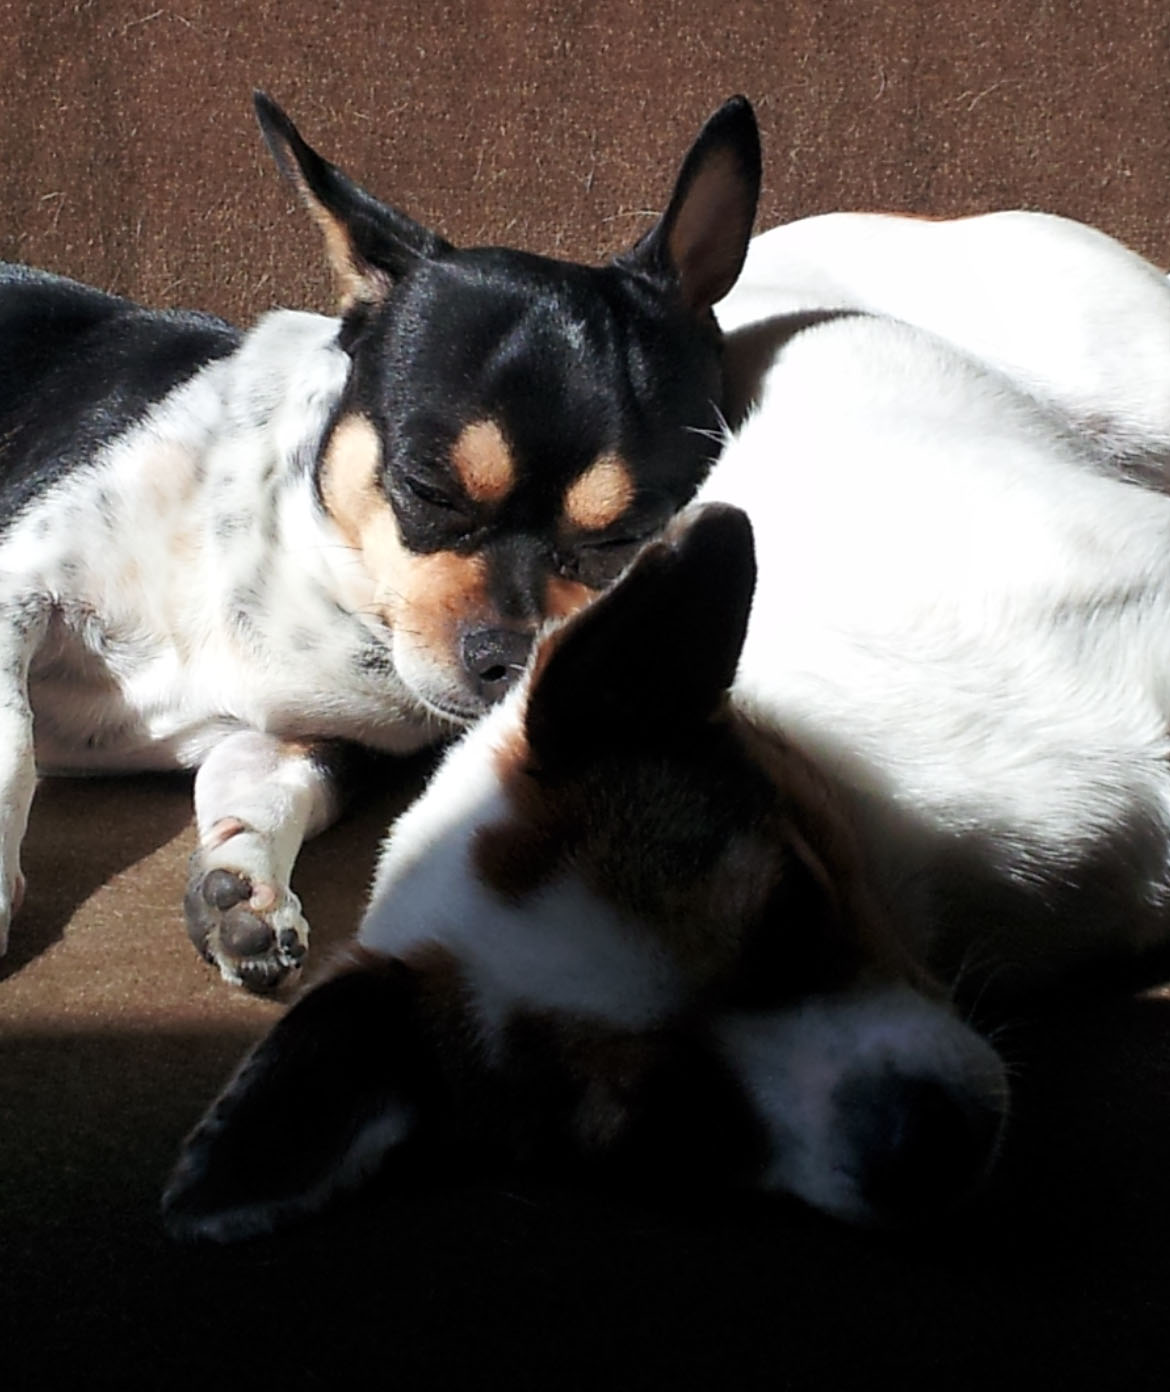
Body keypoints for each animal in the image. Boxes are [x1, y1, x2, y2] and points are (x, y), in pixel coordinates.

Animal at [0, 93, 760, 991]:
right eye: (428, 491)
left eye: (623, 539)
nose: (510, 656)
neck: (315, 573)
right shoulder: (20, 584)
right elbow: (12, 738)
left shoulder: (309, 741)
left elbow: (267, 792)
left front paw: (243, 891)